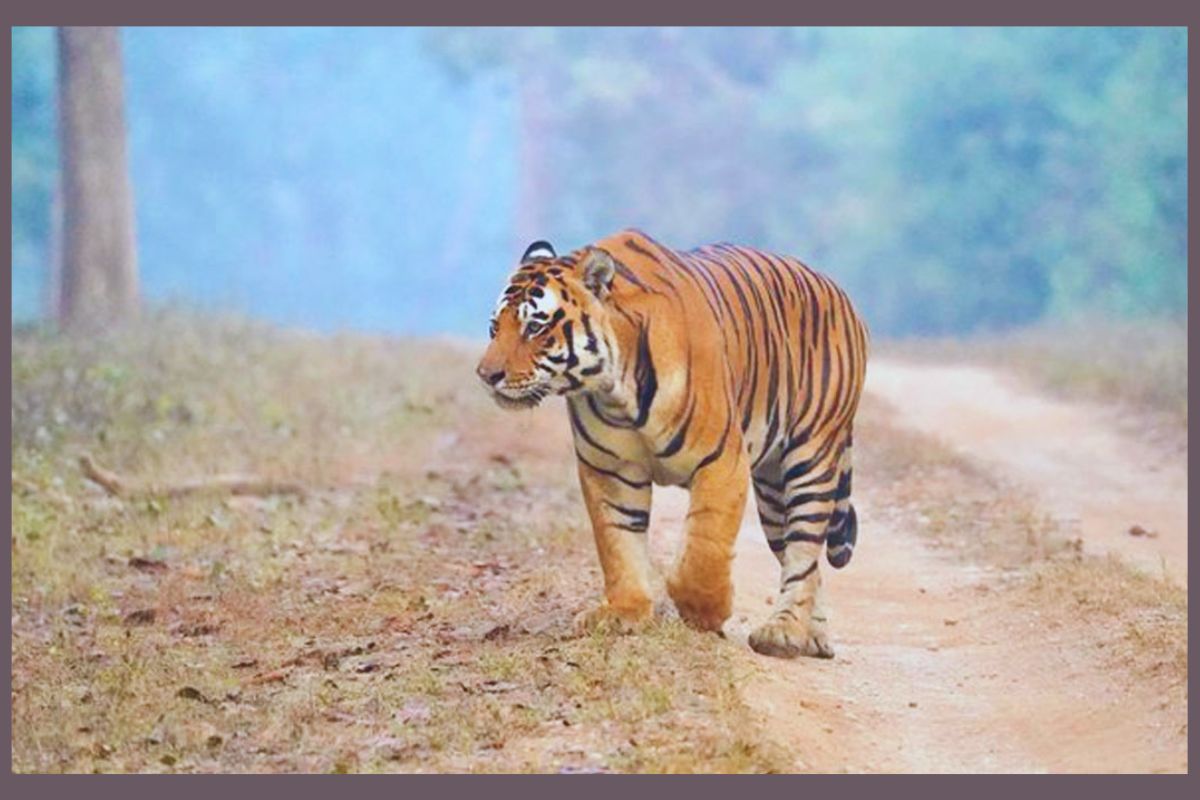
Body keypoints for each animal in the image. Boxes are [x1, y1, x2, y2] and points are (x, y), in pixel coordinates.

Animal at [476, 229, 868, 659]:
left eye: (534, 327)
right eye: (494, 327)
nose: (486, 375)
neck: (615, 389)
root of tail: (837, 290)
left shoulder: (722, 462)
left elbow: (703, 548)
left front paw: (705, 612)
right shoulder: (610, 470)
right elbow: (618, 543)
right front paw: (624, 612)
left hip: (811, 457)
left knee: (803, 550)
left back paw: (783, 632)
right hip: (771, 488)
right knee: (808, 564)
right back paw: (813, 636)